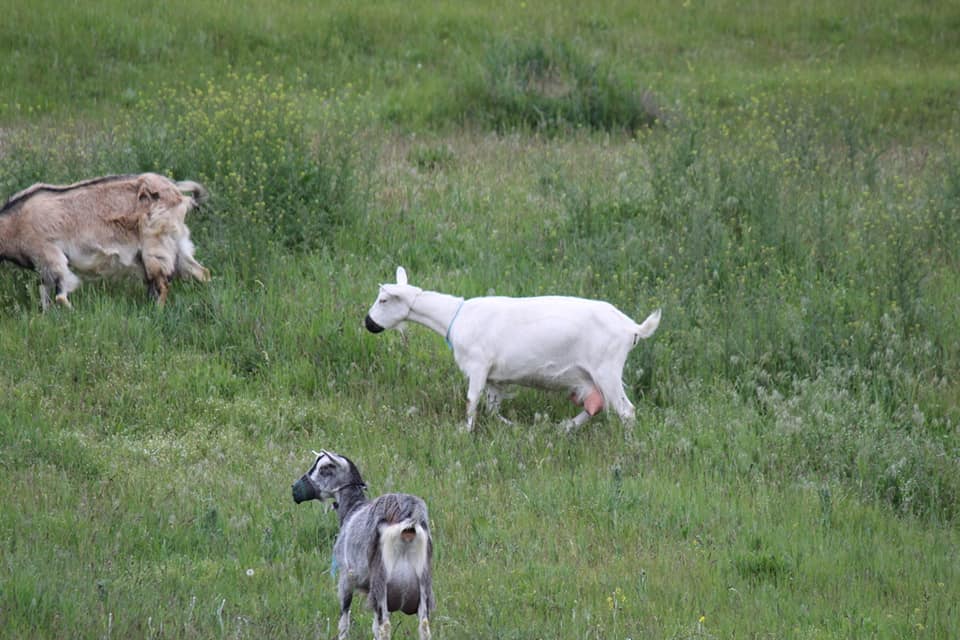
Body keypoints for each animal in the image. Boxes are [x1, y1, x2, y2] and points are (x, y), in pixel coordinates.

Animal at [0, 172, 211, 308]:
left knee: (161, 283)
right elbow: (44, 293)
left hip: (156, 245)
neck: (15, 222)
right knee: (200, 272)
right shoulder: (43, 267)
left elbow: (60, 294)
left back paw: (157, 310)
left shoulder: (49, 255)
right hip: (176, 242)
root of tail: (178, 194)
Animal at [288, 450, 432, 640]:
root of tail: (409, 521)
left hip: (382, 580)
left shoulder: (346, 576)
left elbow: (344, 620)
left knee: (385, 626)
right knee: (424, 626)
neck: (352, 508)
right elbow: (374, 627)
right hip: (422, 583)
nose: (295, 489)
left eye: (325, 468)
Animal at [364, 264, 664, 436]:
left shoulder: (478, 365)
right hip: (592, 376)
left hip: (607, 368)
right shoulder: (495, 378)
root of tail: (631, 328)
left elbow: (471, 401)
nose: (368, 323)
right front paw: (510, 427)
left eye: (383, 300)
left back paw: (627, 446)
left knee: (626, 411)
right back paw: (563, 428)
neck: (454, 317)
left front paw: (465, 432)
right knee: (597, 405)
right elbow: (491, 408)